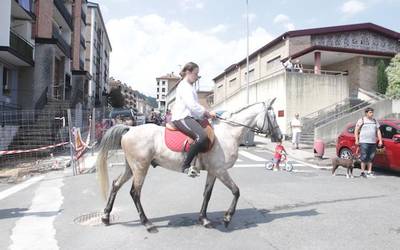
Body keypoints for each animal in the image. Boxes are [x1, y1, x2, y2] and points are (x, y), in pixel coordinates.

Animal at [95, 97, 282, 232]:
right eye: (273, 117)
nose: (280, 137)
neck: (228, 133)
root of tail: (130, 130)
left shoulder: (213, 171)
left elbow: (207, 194)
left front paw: (204, 219)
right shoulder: (221, 170)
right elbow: (236, 191)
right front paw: (227, 218)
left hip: (131, 167)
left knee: (116, 185)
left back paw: (105, 217)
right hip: (141, 168)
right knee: (135, 193)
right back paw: (147, 223)